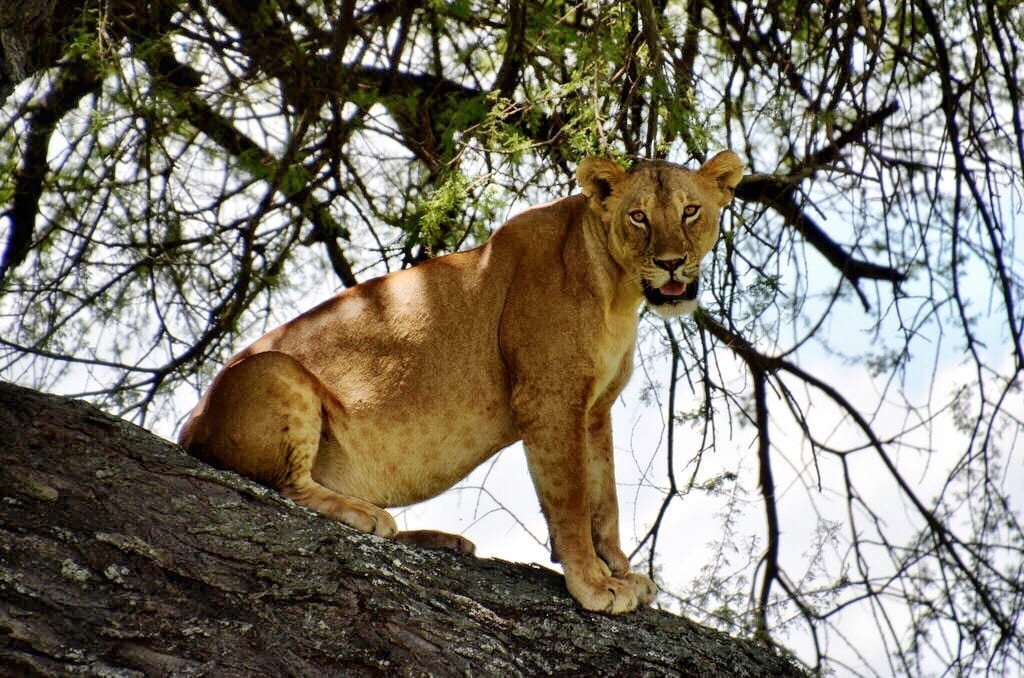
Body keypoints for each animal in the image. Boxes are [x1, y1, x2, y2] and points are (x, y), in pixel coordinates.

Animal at [179, 151, 744, 614]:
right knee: (288, 484)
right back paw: (365, 514)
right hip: (274, 368)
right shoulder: (549, 399)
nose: (671, 262)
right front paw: (593, 584)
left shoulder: (593, 409)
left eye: (690, 211)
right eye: (638, 216)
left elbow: (605, 499)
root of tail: (192, 424)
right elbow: (571, 498)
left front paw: (620, 568)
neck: (619, 293)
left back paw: (439, 539)